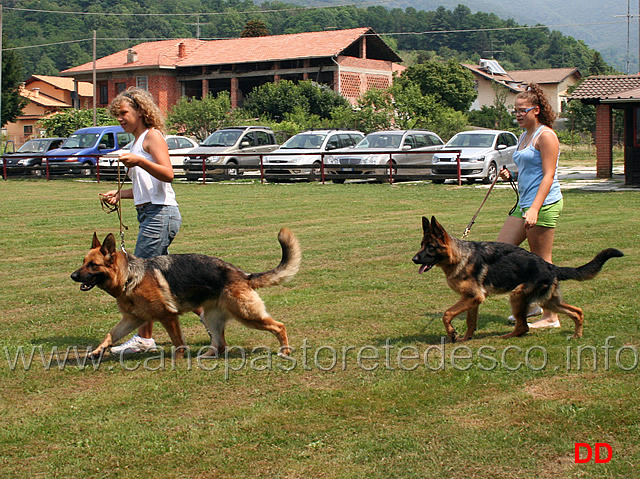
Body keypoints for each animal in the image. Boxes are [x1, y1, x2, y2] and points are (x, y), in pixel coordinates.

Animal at [71, 230, 302, 360]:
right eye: (83, 262)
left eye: (93, 265)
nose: (72, 276)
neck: (129, 276)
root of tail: (242, 274)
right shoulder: (132, 319)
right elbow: (110, 335)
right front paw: (96, 352)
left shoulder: (168, 317)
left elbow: (178, 342)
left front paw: (179, 359)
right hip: (212, 317)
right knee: (220, 344)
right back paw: (205, 356)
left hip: (247, 315)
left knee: (279, 326)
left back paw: (285, 351)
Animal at [412, 216, 624, 344]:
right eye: (421, 245)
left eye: (430, 247)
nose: (413, 259)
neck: (459, 255)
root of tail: (550, 266)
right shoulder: (472, 300)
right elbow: (471, 322)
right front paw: (465, 338)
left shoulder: (473, 298)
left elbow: (446, 314)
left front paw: (452, 333)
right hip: (549, 302)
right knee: (577, 312)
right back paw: (577, 335)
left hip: (517, 296)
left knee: (523, 327)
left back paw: (505, 336)